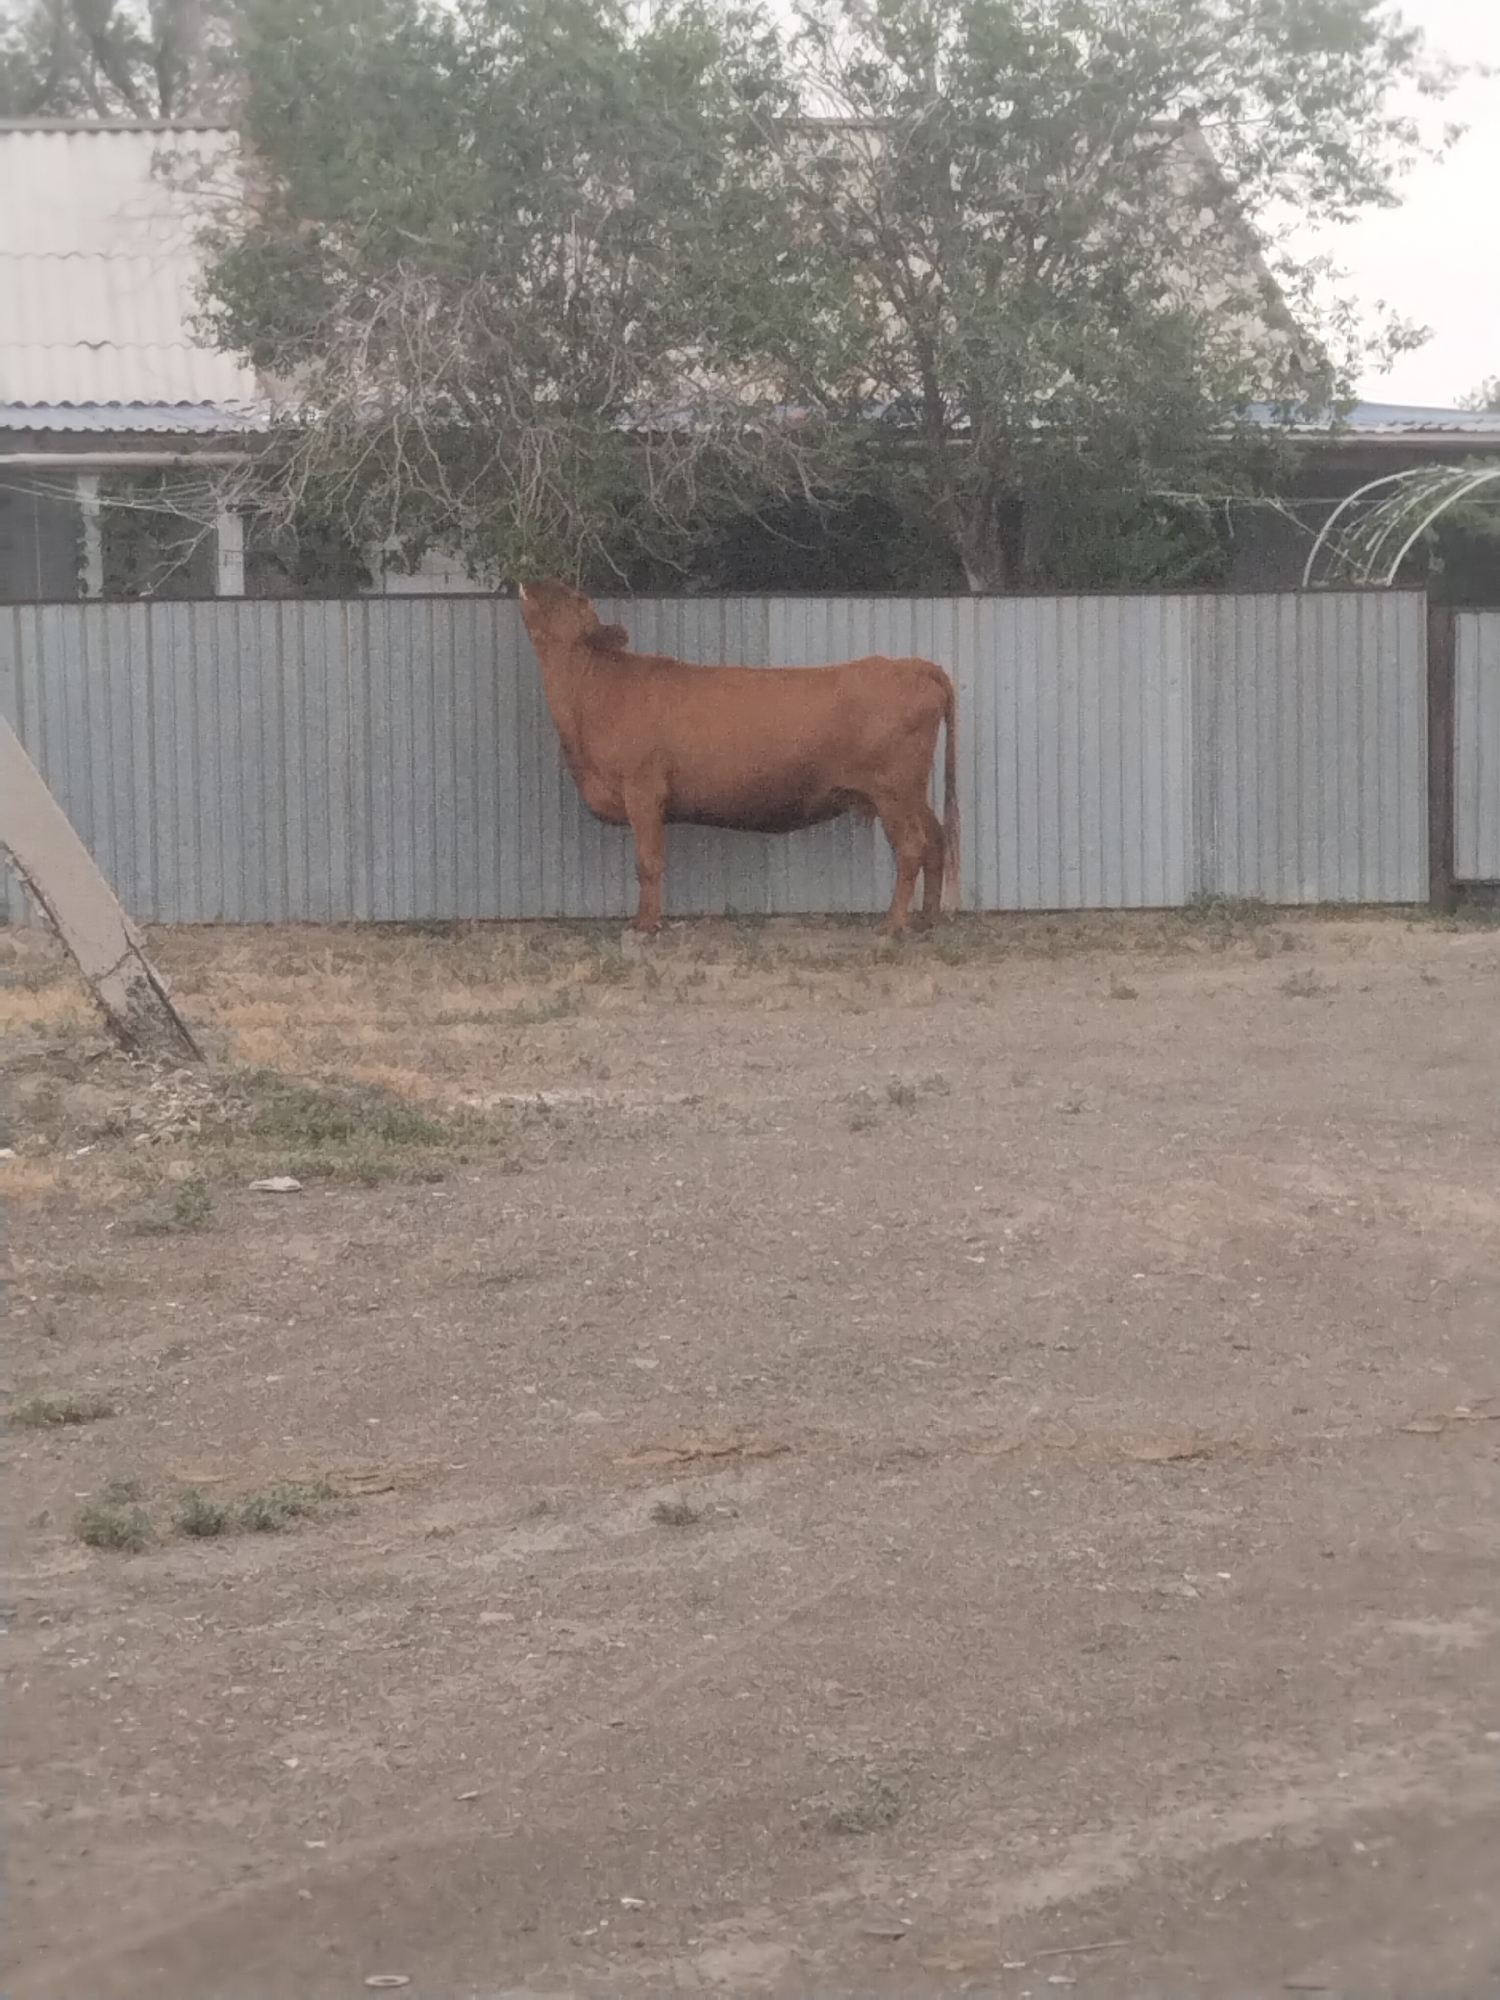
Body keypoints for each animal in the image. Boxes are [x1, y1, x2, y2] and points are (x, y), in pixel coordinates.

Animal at [516, 579, 959, 936]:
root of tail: (912, 665)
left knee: (912, 847)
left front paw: (644, 925)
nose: (531, 579)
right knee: (936, 839)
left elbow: (648, 862)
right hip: (911, 793)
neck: (593, 693)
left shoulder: (643, 791)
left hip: (894, 792)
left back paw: (893, 925)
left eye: (574, 597)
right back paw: (926, 920)